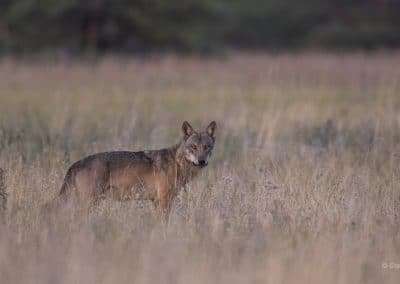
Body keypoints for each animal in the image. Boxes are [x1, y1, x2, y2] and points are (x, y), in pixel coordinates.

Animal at [52, 120, 217, 222]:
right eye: (193, 147)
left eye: (207, 147)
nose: (202, 161)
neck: (177, 162)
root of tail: (76, 163)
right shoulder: (164, 200)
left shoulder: (156, 201)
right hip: (88, 202)